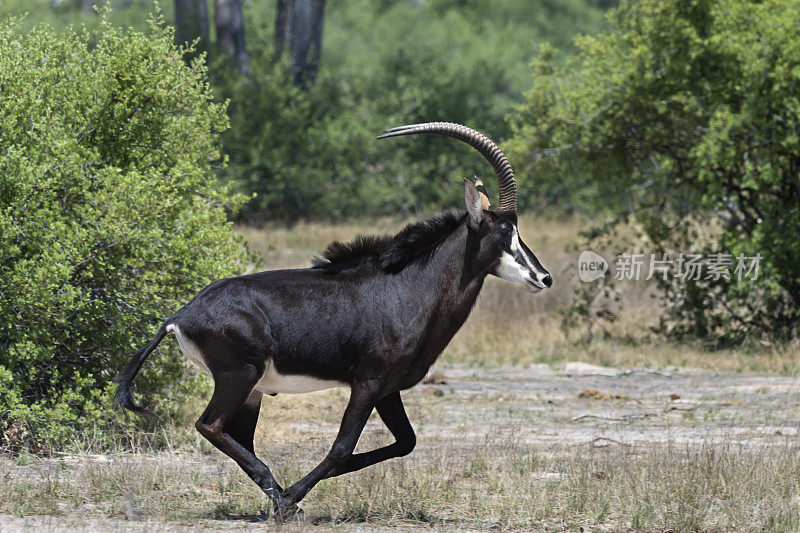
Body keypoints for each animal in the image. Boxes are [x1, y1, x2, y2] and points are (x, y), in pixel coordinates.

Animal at [115, 122, 552, 516]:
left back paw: (277, 493)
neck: (407, 286)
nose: (544, 278)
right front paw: (291, 497)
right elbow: (342, 447)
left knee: (237, 436)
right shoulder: (367, 383)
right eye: (503, 231)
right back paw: (280, 497)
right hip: (239, 375)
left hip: (250, 388)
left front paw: (292, 494)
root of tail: (179, 315)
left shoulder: (388, 389)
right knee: (210, 425)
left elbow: (403, 443)